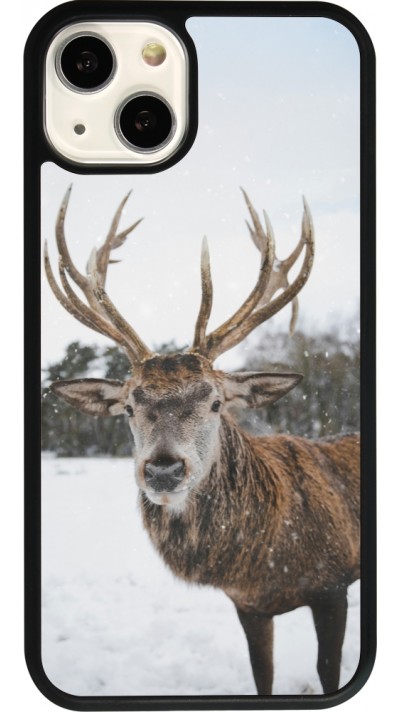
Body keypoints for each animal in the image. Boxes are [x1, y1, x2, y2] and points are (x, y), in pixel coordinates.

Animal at [44, 186, 360, 695]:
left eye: (215, 402)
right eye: (129, 406)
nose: (163, 468)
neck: (267, 562)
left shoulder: (333, 584)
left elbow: (328, 671)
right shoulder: (248, 605)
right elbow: (262, 676)